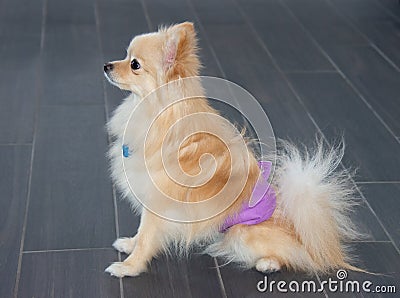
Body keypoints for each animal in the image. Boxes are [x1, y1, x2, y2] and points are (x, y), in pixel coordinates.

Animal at [102, 22, 360, 278]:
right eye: (126, 56)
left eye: (135, 64)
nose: (106, 65)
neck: (153, 111)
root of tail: (298, 227)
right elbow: (140, 232)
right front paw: (129, 244)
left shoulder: (157, 204)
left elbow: (146, 238)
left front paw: (128, 267)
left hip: (243, 233)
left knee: (296, 257)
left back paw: (268, 263)